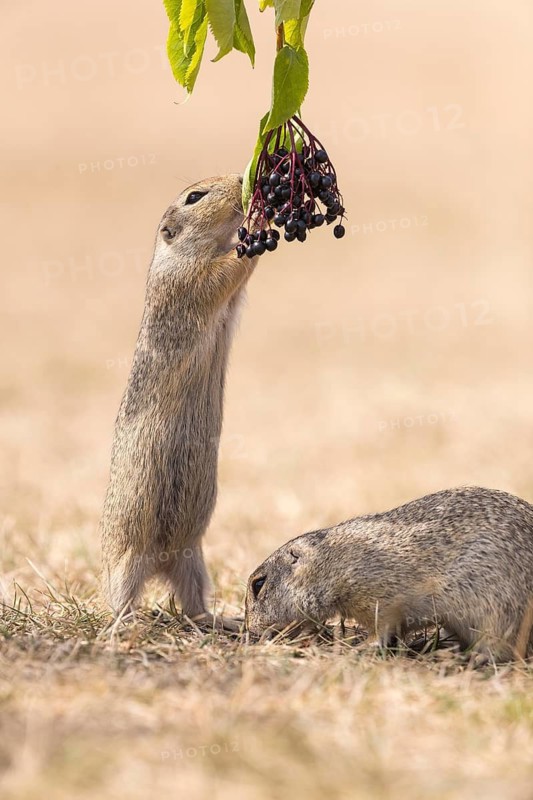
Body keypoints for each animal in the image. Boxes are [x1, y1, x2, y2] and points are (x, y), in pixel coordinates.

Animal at [100, 174, 256, 626]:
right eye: (194, 197)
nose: (240, 179)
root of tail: (161, 563)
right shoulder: (191, 280)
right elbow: (226, 271)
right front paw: (257, 222)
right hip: (128, 556)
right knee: (119, 594)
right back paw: (125, 620)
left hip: (194, 560)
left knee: (192, 602)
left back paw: (218, 620)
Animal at [245, 486, 533, 661]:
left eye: (258, 584)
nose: (252, 630)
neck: (330, 564)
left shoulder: (381, 602)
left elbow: (381, 631)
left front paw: (359, 648)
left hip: (499, 611)